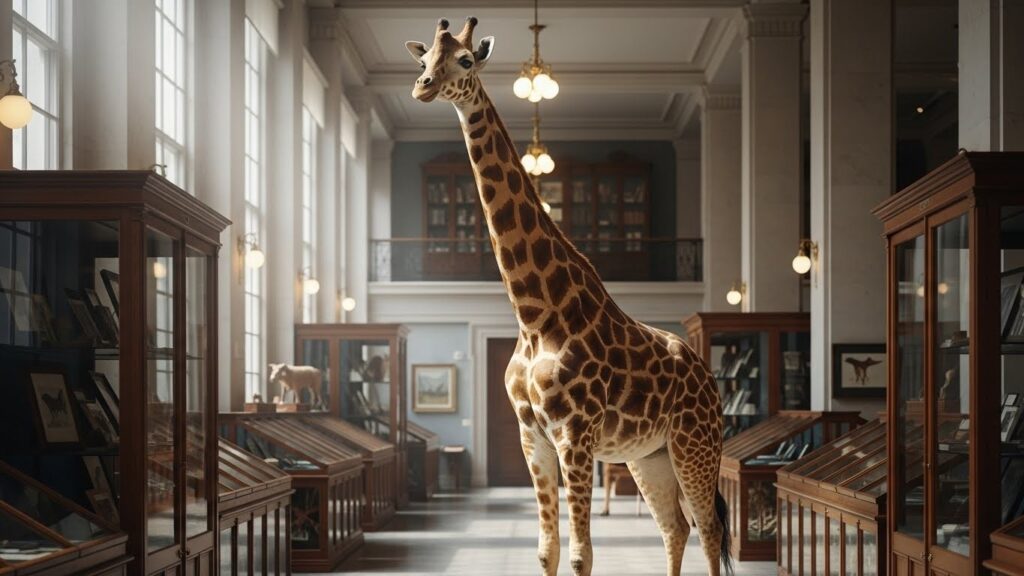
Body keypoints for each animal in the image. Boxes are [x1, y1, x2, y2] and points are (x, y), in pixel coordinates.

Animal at [406, 17, 732, 576]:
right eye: (424, 58)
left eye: (466, 60)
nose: (423, 87)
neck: (535, 314)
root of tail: (708, 377)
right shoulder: (532, 436)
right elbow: (547, 548)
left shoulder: (574, 435)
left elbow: (581, 554)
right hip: (648, 455)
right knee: (675, 527)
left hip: (695, 442)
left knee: (709, 530)